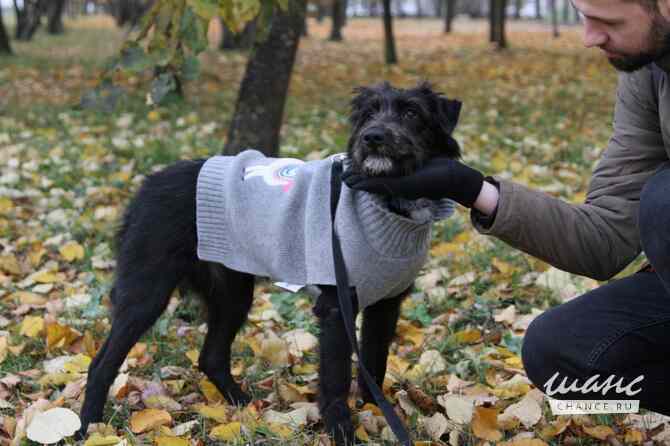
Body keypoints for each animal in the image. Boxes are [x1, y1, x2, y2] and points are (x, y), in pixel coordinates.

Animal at [79, 82, 462, 444]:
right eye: (368, 114)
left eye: (412, 113)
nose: (373, 137)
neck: (385, 204)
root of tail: (145, 186)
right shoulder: (336, 307)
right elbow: (336, 379)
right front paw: (343, 433)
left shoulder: (386, 305)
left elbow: (375, 365)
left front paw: (376, 415)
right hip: (147, 293)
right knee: (101, 363)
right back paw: (89, 428)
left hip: (232, 294)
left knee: (211, 356)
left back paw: (242, 405)